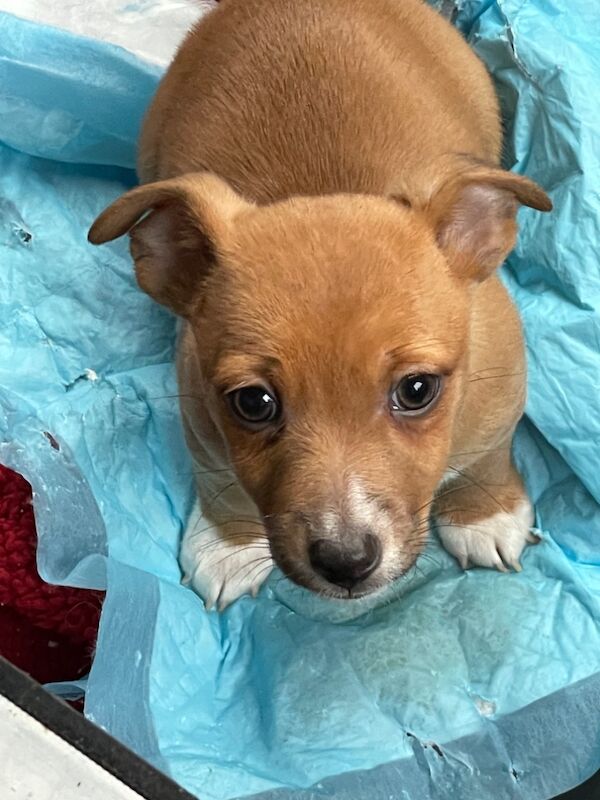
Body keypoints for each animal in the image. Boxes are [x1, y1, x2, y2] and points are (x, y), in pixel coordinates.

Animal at [86, 0, 552, 608]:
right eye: (253, 403)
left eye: (417, 390)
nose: (346, 562)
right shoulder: (201, 421)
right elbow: (222, 481)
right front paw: (228, 543)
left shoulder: (499, 399)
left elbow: (489, 454)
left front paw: (483, 513)